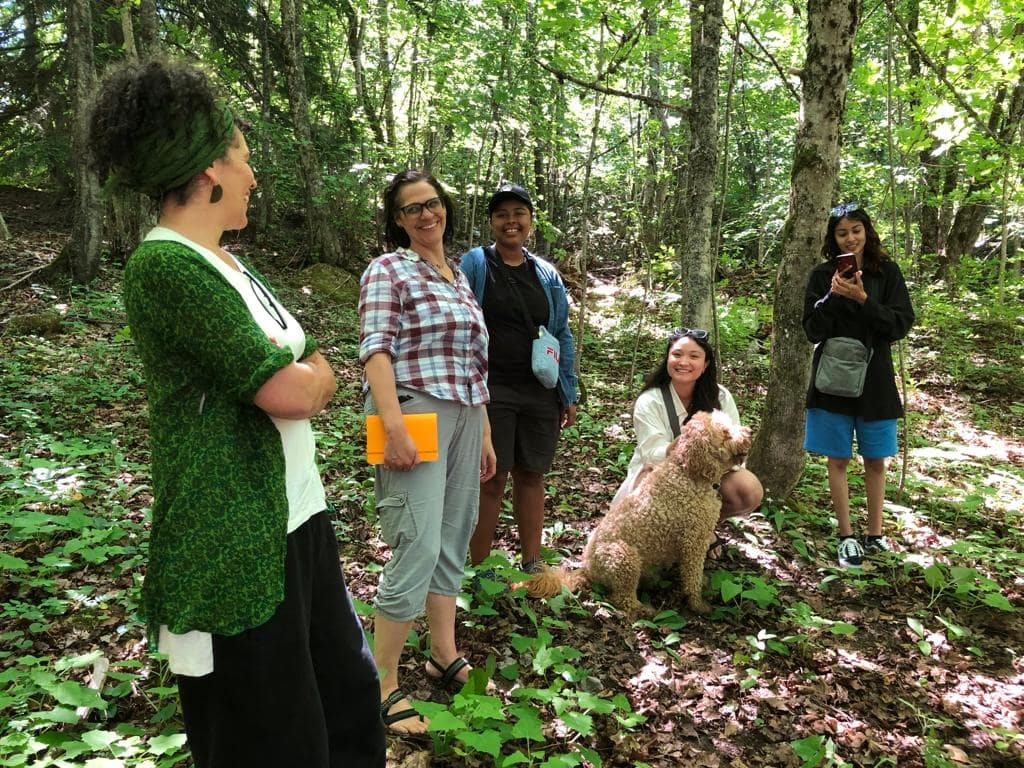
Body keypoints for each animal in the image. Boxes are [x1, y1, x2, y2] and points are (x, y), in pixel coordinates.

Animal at [528, 411, 753, 618]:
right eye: (725, 432)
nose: (749, 431)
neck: (687, 472)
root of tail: (587, 568)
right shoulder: (693, 542)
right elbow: (692, 577)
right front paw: (698, 604)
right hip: (624, 557)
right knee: (621, 599)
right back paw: (643, 609)